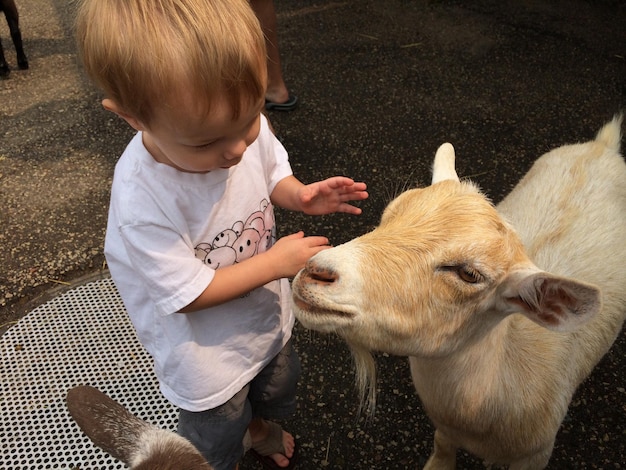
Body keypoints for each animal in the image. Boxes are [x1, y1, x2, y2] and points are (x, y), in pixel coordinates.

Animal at [292, 115, 624, 468]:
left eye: (469, 273)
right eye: (389, 213)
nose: (316, 273)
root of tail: (602, 145)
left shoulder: (535, 453)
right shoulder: (445, 430)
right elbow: (442, 448)